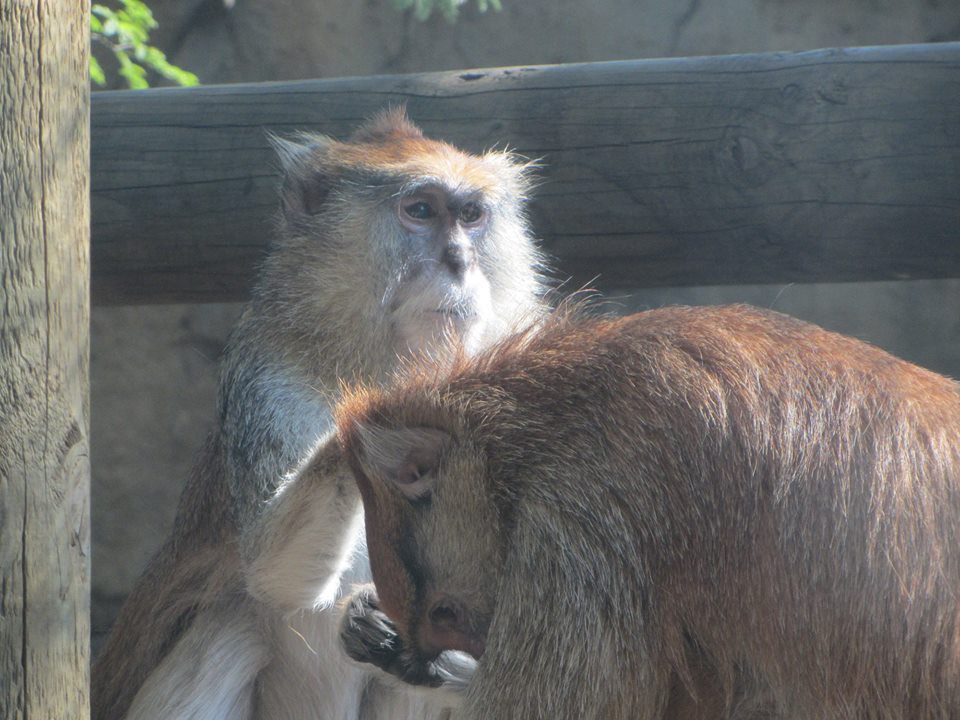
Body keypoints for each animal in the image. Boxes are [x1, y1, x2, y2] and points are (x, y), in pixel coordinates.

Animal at [91, 108, 548, 720]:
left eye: (472, 216)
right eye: (421, 210)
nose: (459, 261)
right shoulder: (267, 378)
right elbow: (273, 573)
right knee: (232, 623)